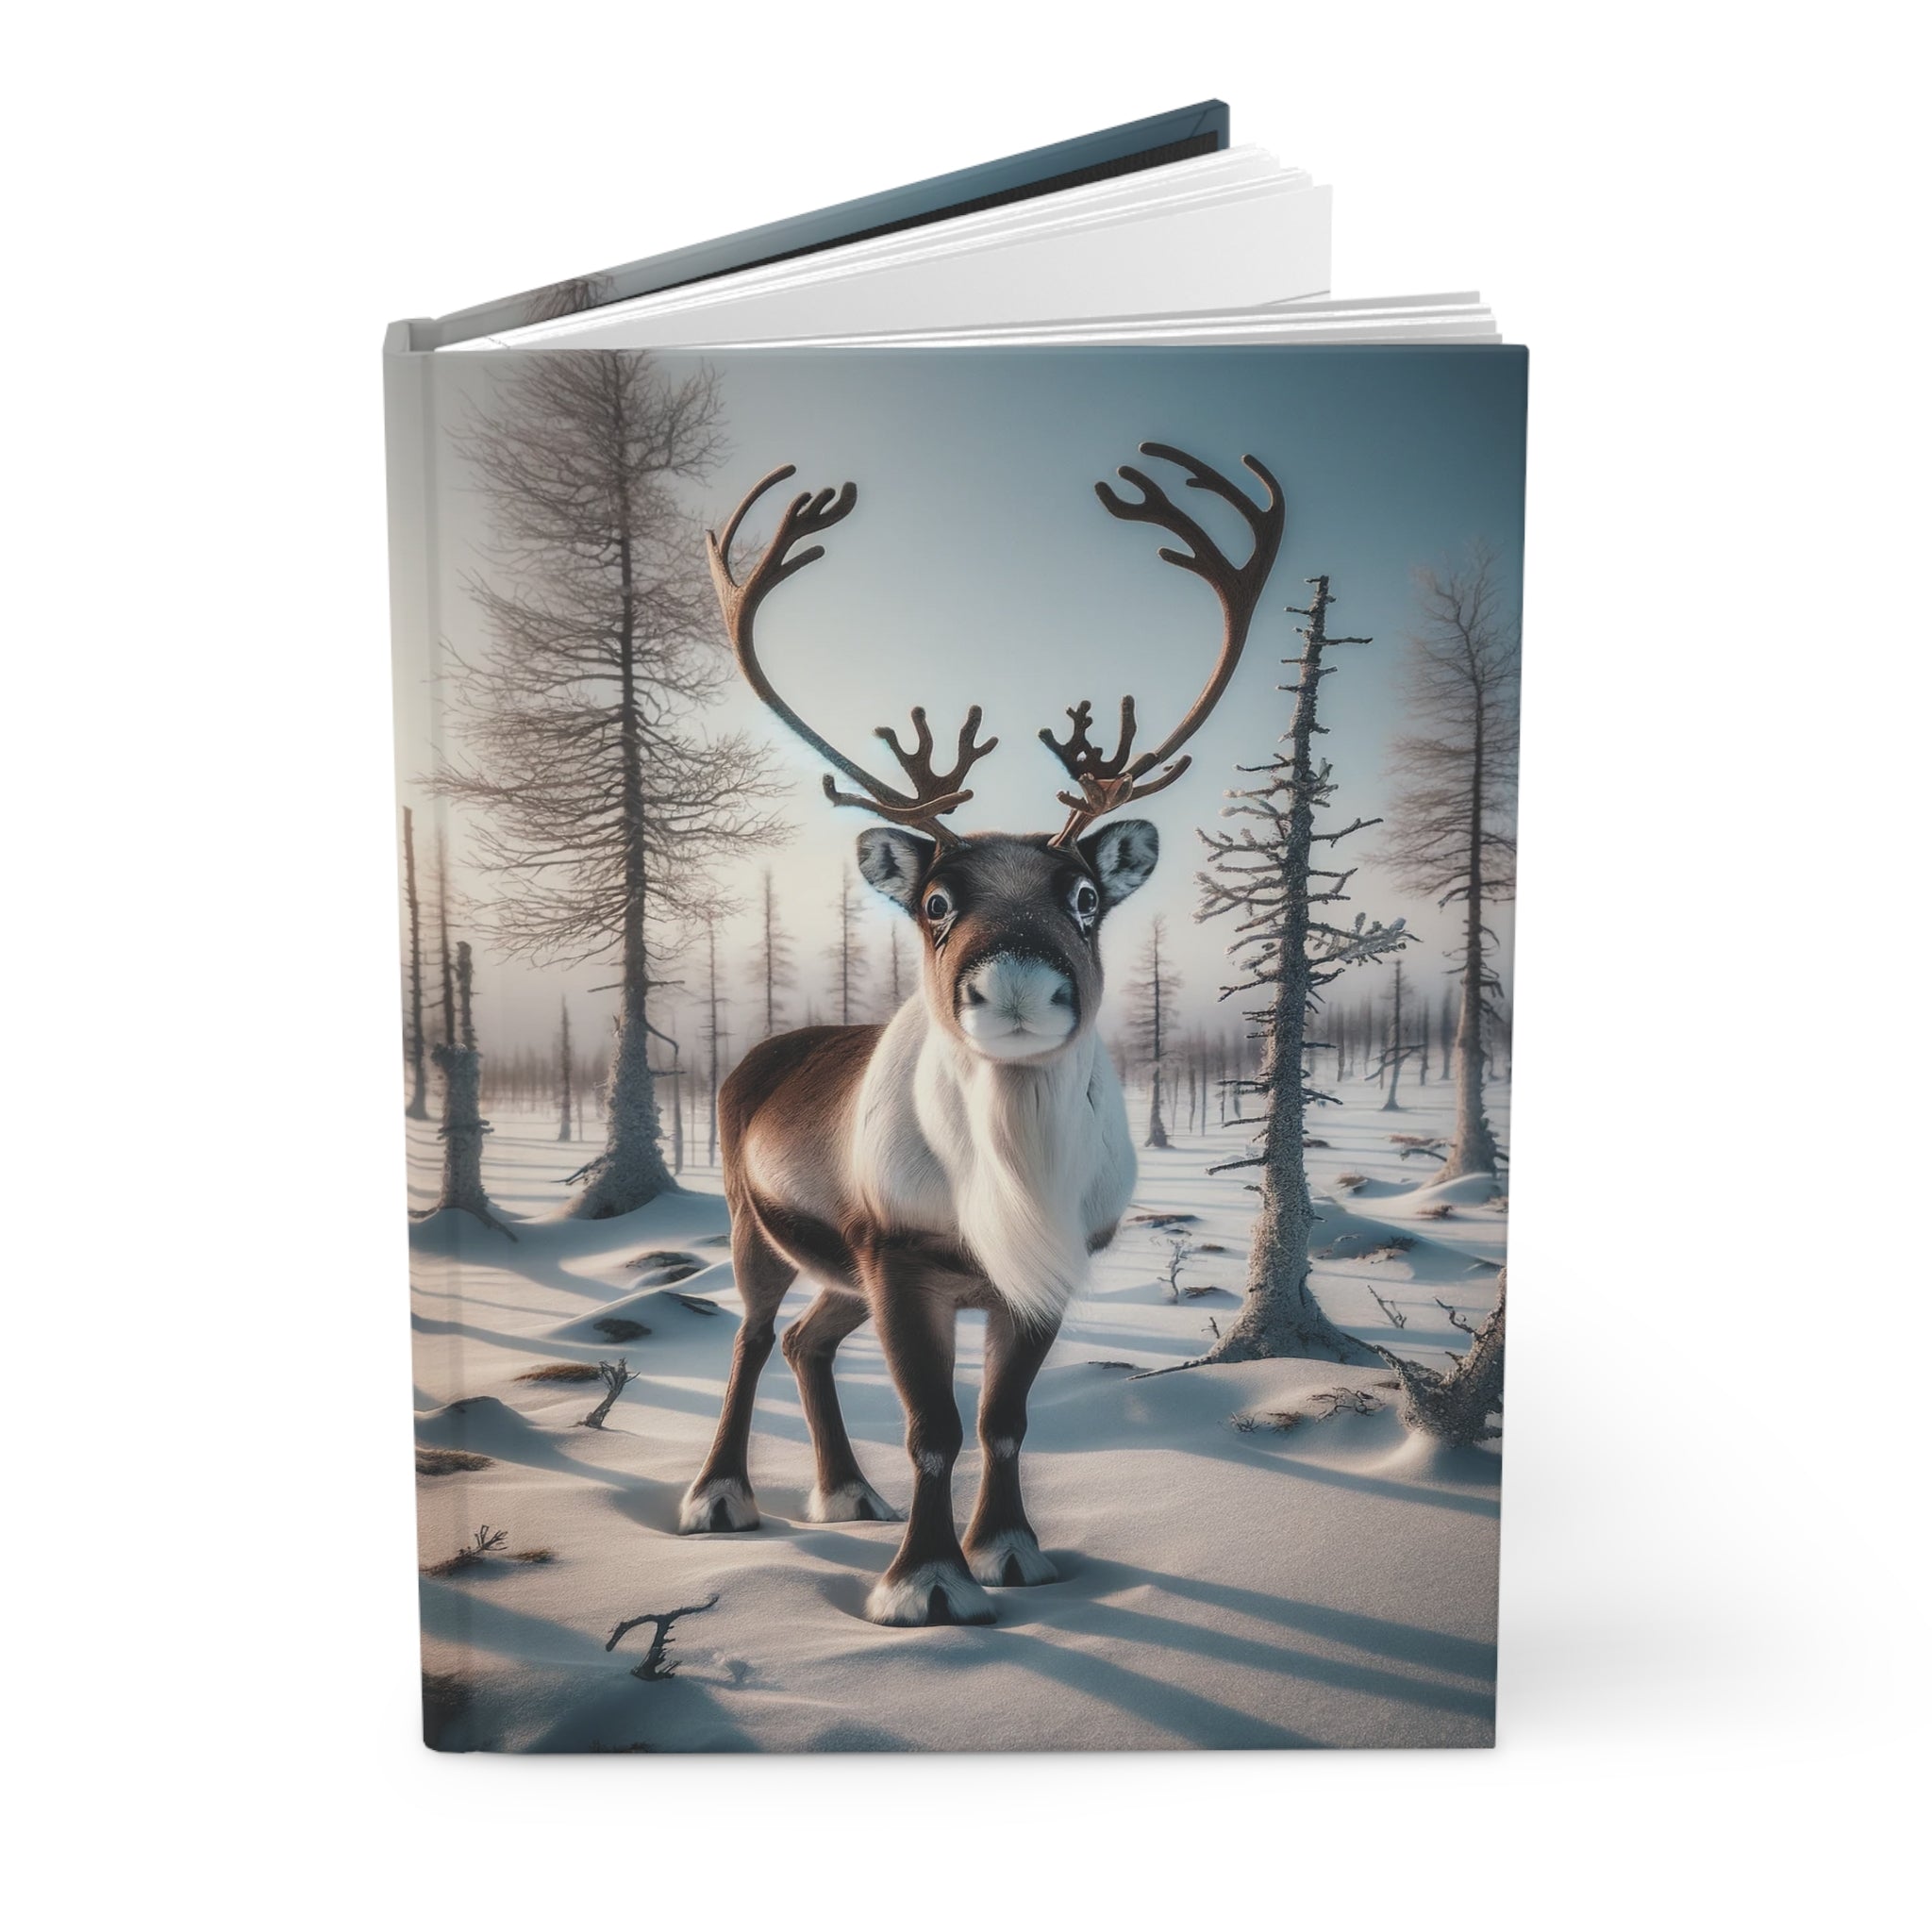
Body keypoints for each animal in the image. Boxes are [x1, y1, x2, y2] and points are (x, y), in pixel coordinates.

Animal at [678, 443, 1285, 1627]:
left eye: (1086, 894)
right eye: (934, 901)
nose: (1013, 980)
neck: (1004, 1186)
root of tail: (761, 1053)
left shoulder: (1033, 1275)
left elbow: (1002, 1420)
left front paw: (1006, 1549)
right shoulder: (901, 1258)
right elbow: (933, 1426)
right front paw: (922, 1581)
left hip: (839, 1274)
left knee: (804, 1339)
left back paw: (843, 1491)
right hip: (758, 1222)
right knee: (748, 1332)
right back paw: (720, 1495)